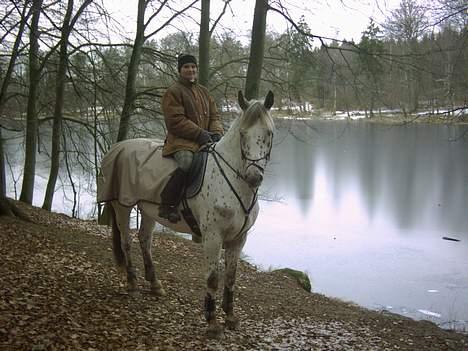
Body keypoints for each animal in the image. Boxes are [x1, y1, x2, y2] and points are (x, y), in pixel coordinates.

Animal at [98, 91, 274, 338]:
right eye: (242, 133)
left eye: (269, 133)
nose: (253, 177)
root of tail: (118, 147)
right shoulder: (212, 237)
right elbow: (213, 279)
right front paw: (212, 323)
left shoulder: (239, 239)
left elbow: (231, 278)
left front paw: (230, 317)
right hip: (122, 205)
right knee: (126, 243)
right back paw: (132, 284)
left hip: (149, 210)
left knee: (145, 240)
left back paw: (155, 284)